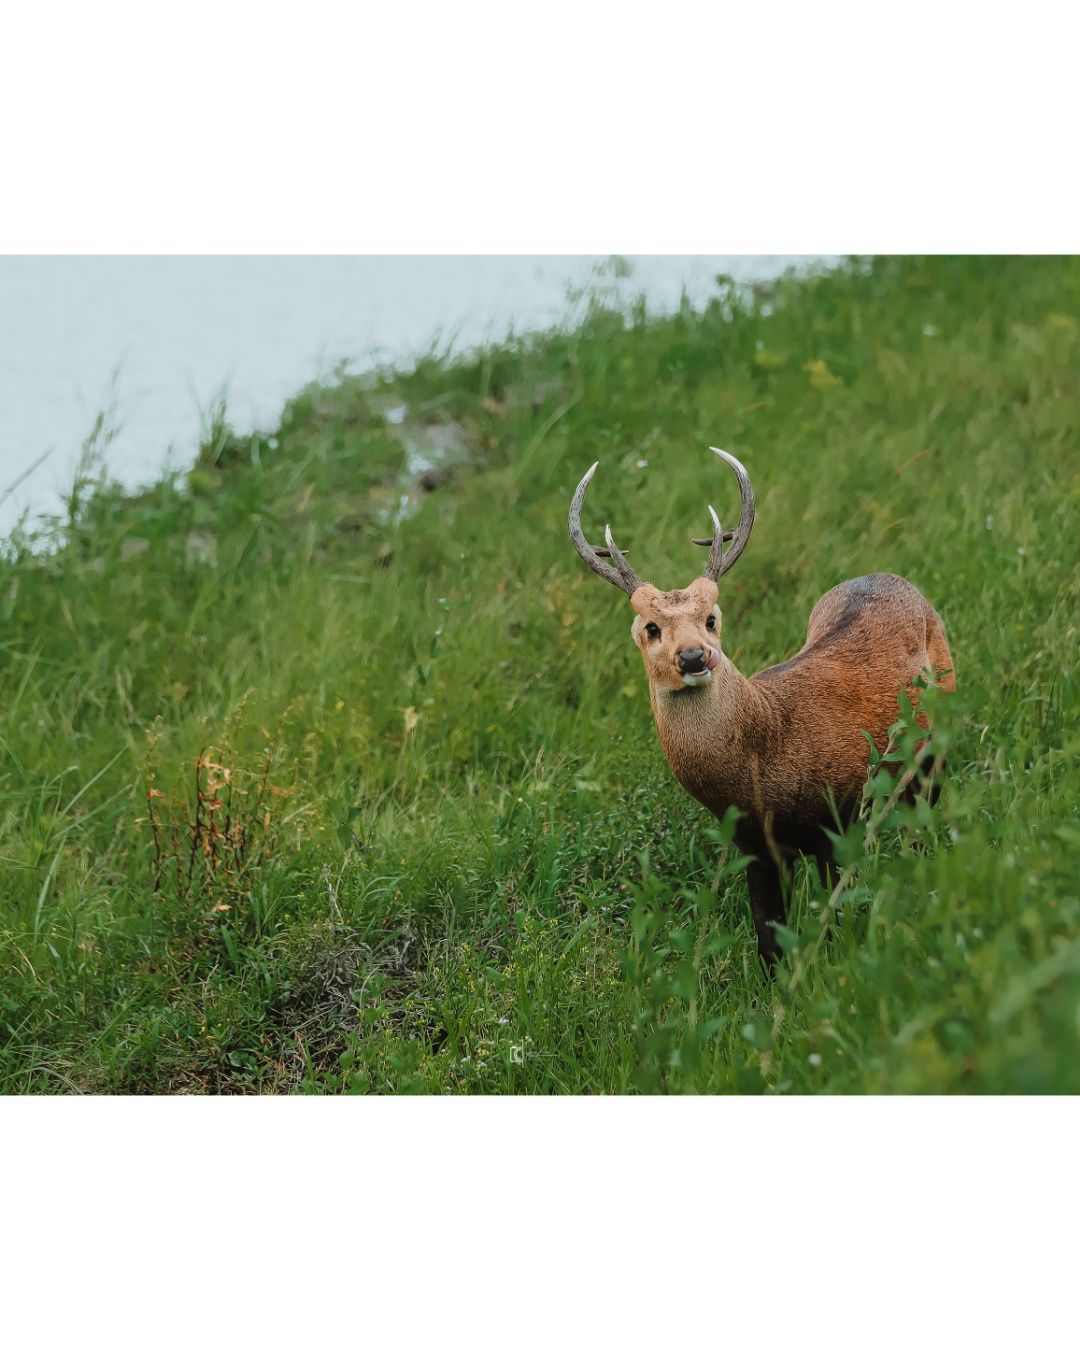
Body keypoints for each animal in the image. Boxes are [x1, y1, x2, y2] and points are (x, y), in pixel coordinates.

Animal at [567, 447, 955, 967]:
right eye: (651, 627)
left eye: (711, 619)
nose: (694, 657)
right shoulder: (754, 845)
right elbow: (768, 937)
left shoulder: (838, 816)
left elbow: (834, 916)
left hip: (935, 741)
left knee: (925, 824)